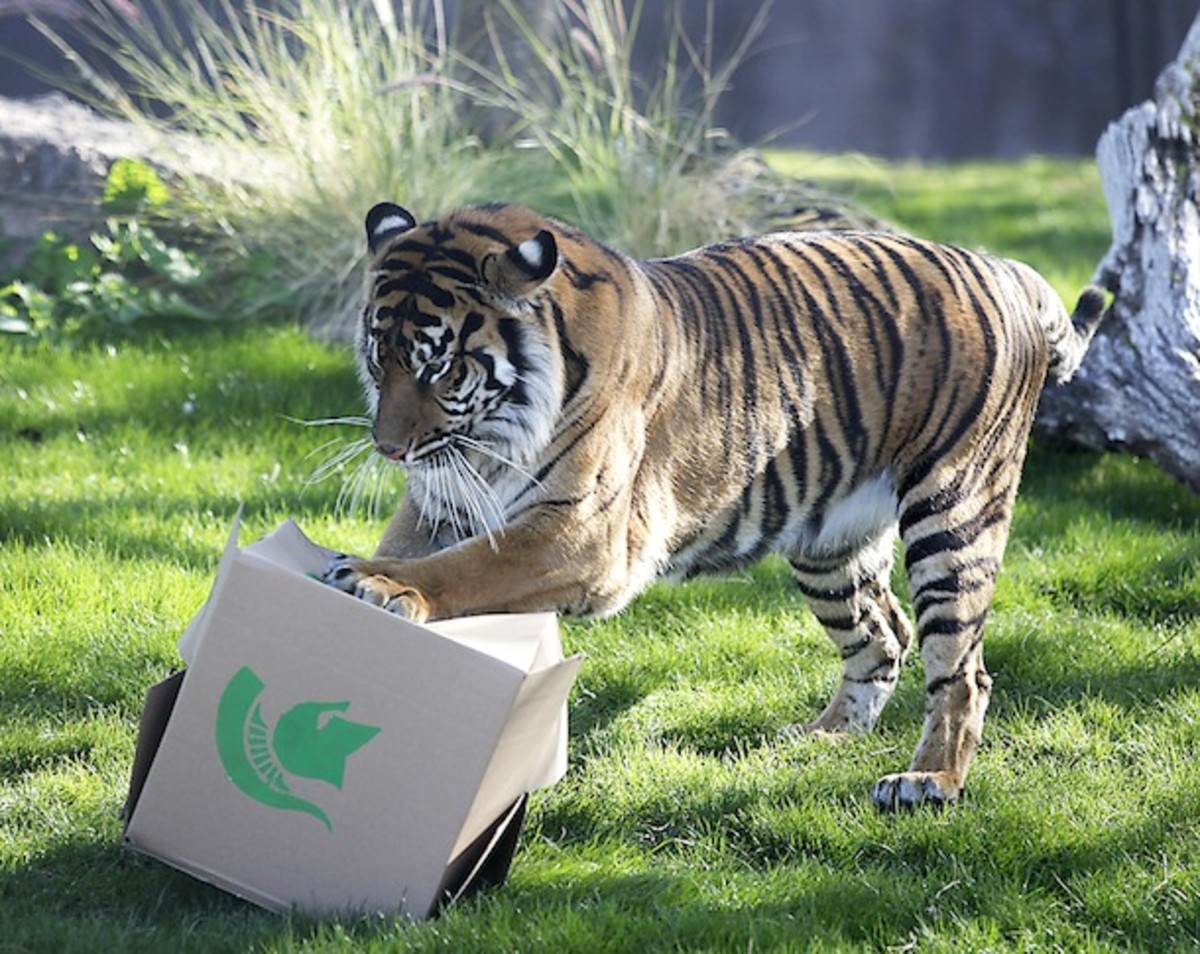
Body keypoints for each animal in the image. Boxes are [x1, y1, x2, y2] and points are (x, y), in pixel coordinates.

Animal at [321, 200, 1106, 811]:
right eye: (378, 357)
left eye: (439, 366)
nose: (389, 448)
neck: (491, 438)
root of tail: (998, 267)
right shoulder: (443, 502)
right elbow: (420, 549)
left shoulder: (579, 534)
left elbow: (467, 570)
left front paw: (377, 584)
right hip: (829, 545)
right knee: (884, 633)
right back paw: (823, 735)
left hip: (955, 514)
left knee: (961, 666)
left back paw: (928, 782)